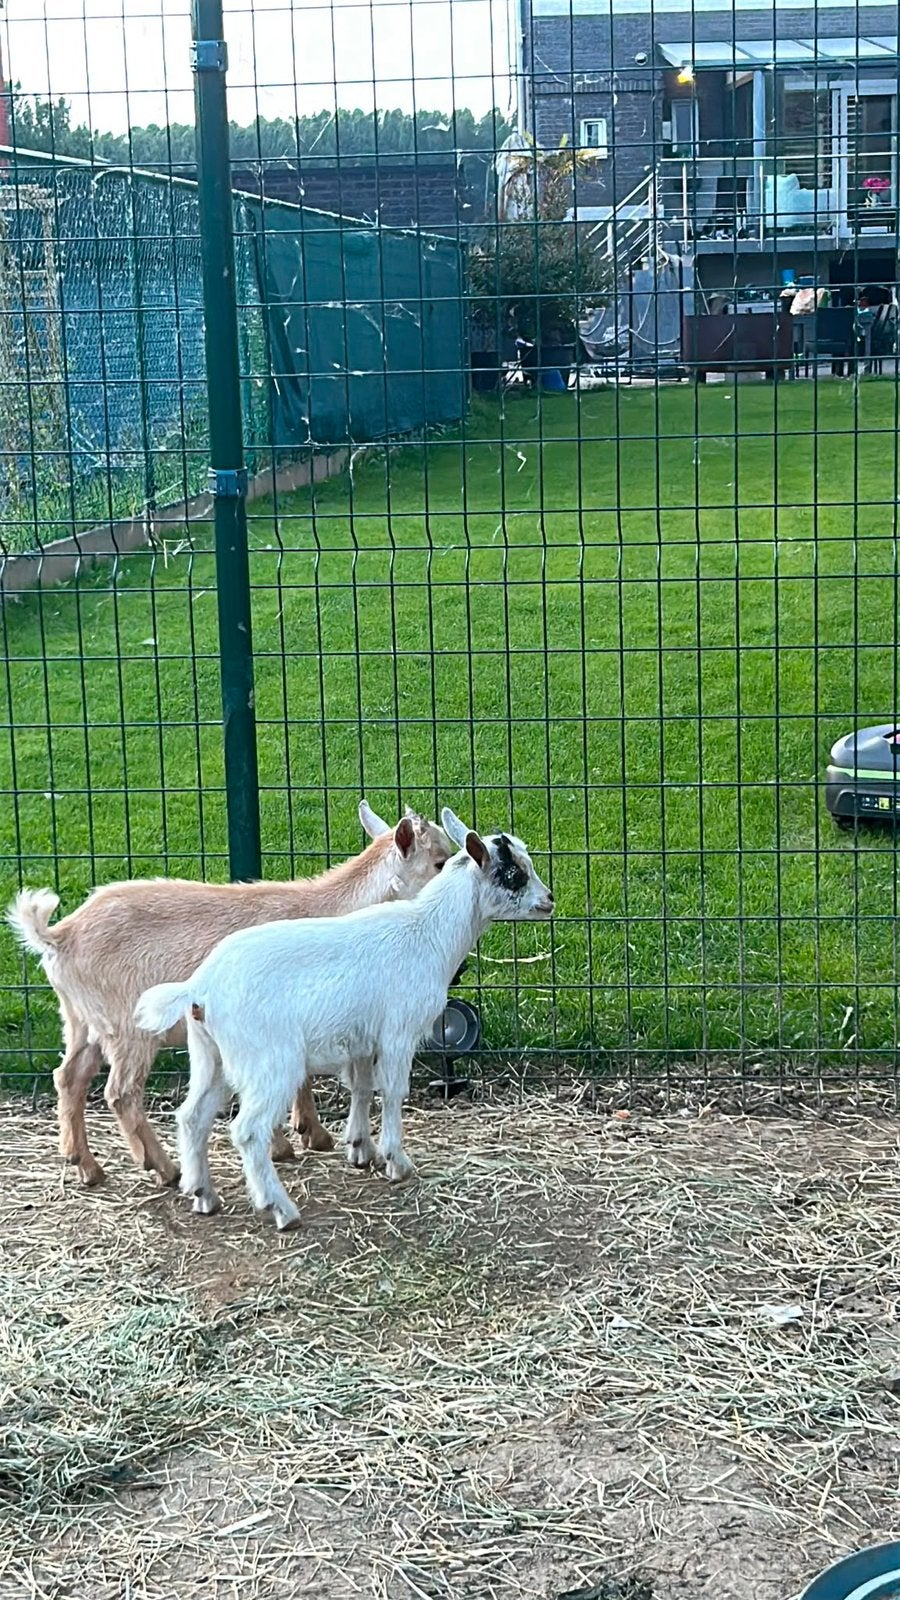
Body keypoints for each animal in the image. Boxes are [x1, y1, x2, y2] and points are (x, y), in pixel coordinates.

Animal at [8, 802, 451, 1189]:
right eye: (439, 862)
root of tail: (57, 936)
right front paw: (295, 1140)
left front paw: (307, 1135)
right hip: (128, 1025)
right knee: (120, 1092)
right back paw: (164, 1169)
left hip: (81, 1020)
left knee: (69, 1077)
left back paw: (86, 1166)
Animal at [134, 808, 554, 1230]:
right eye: (513, 872)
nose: (549, 900)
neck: (429, 933)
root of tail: (199, 987)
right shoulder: (399, 1033)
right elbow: (393, 1091)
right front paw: (397, 1162)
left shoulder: (362, 1041)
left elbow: (363, 1088)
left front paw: (361, 1149)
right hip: (269, 1060)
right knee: (248, 1130)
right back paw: (280, 1209)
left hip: (211, 1056)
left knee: (192, 1116)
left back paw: (203, 1194)